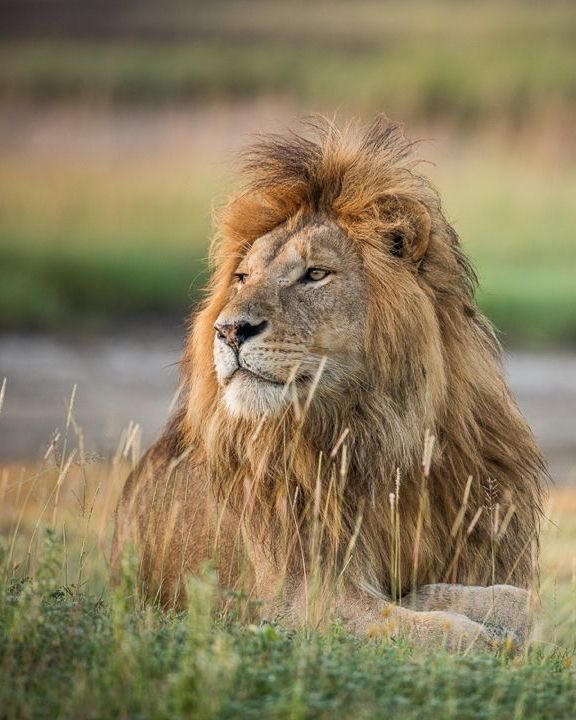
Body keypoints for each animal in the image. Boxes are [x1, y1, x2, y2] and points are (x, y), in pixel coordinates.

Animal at [112, 116, 546, 650]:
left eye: (315, 274)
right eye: (242, 277)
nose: (229, 330)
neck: (389, 438)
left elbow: (524, 603)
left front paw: (439, 598)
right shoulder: (307, 601)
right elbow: (443, 630)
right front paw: (461, 623)